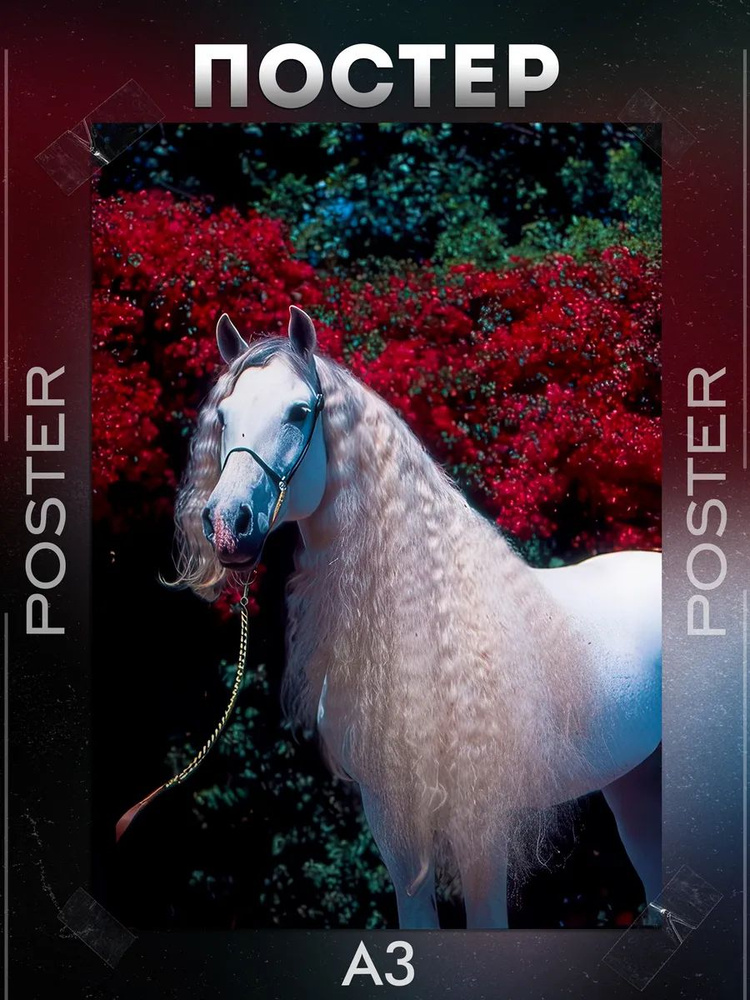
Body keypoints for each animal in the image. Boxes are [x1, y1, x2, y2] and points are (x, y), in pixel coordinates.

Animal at [173, 305, 662, 930]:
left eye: (299, 412)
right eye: (224, 414)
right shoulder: (393, 819)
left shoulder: (482, 826)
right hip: (635, 784)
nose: (226, 523)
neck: (426, 624)